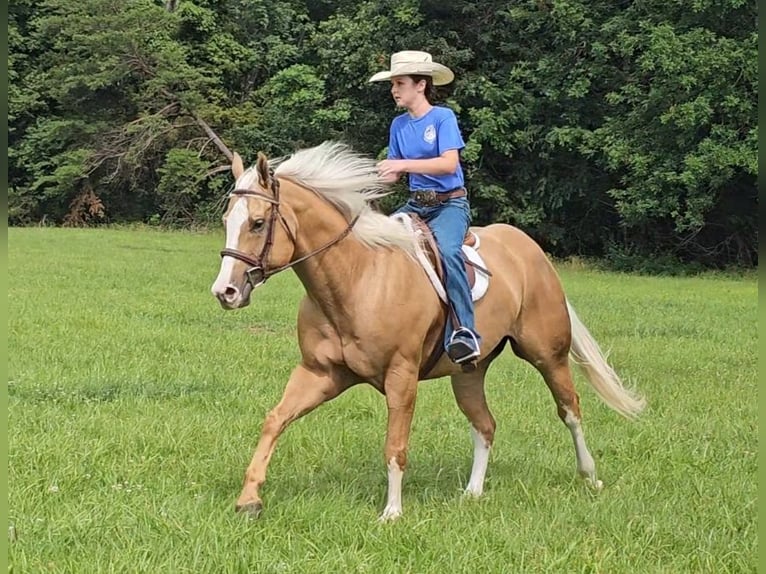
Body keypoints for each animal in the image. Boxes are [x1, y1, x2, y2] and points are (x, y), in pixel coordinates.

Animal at [212, 143, 648, 520]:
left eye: (257, 223)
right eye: (226, 221)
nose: (225, 292)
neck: (357, 278)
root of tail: (530, 249)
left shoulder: (401, 376)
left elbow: (395, 444)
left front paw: (392, 512)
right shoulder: (320, 373)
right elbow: (275, 420)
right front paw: (249, 498)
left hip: (547, 354)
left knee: (570, 409)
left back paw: (590, 477)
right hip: (469, 372)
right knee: (485, 424)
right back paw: (472, 492)